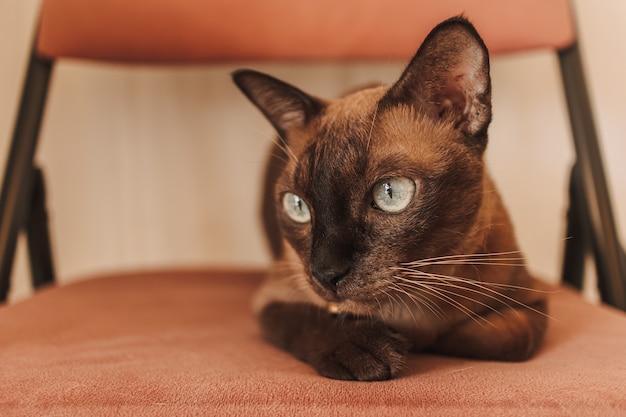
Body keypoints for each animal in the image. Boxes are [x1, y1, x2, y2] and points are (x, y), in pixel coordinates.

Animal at [230, 16, 544, 380]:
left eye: (390, 193)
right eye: (297, 206)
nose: (326, 274)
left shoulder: (531, 302)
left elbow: (504, 337)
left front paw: (423, 339)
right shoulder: (273, 296)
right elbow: (303, 319)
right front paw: (364, 348)